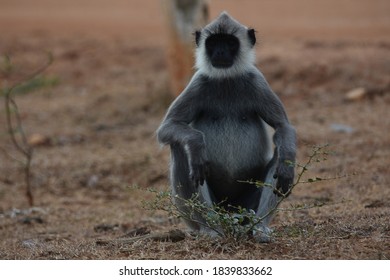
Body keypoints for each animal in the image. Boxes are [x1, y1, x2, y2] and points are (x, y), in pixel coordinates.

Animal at [155, 12, 296, 242]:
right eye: (213, 43)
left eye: (230, 42)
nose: (220, 52)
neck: (226, 79)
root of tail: (229, 211)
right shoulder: (198, 83)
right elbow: (168, 127)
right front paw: (197, 145)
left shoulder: (257, 81)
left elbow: (282, 126)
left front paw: (286, 164)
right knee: (179, 147)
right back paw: (211, 229)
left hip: (245, 204)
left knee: (279, 156)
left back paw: (259, 227)